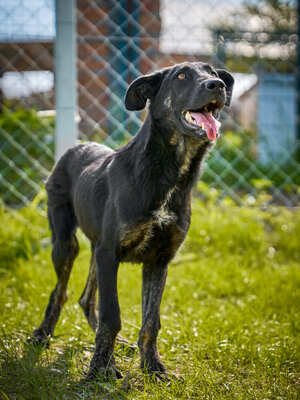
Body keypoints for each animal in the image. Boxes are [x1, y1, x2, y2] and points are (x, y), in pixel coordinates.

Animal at [32, 61, 234, 382]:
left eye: (213, 72)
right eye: (182, 75)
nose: (218, 85)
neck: (170, 172)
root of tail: (76, 146)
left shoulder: (158, 260)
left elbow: (151, 321)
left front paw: (152, 366)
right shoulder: (110, 253)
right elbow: (112, 315)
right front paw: (100, 368)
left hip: (95, 249)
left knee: (86, 298)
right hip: (66, 242)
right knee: (60, 292)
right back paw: (43, 333)